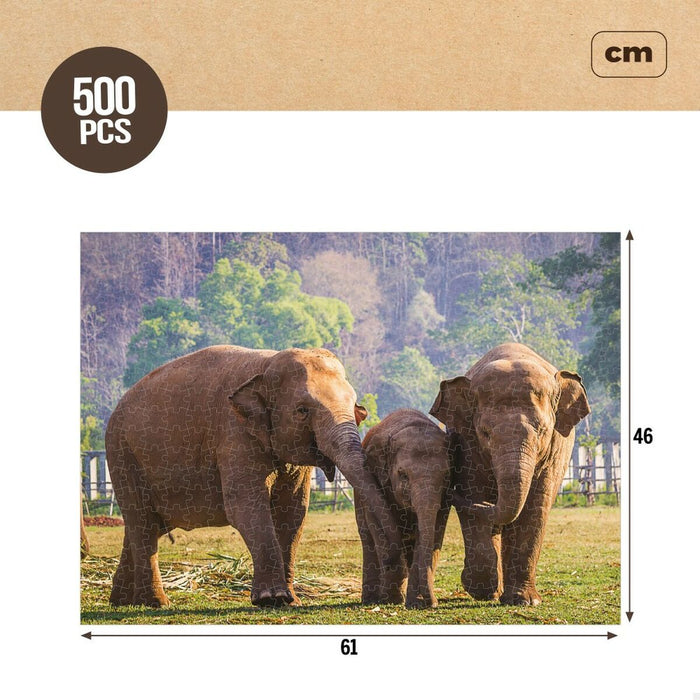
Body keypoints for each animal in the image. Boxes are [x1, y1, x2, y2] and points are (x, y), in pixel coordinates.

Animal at [105, 345, 400, 608]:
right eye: (302, 410)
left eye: (354, 407)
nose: (392, 559)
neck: (267, 366)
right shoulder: (234, 433)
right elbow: (245, 506)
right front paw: (272, 598)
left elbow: (293, 511)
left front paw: (291, 602)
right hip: (122, 454)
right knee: (142, 522)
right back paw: (156, 603)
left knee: (146, 525)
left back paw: (122, 601)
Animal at [355, 409, 459, 608]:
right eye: (403, 475)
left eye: (446, 476)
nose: (434, 603)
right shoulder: (375, 478)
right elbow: (379, 526)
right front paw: (391, 599)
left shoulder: (445, 497)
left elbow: (434, 531)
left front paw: (416, 603)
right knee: (368, 538)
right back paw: (372, 599)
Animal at [429, 343, 590, 606]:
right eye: (485, 432)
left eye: (542, 431)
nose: (450, 492)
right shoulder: (467, 443)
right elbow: (475, 495)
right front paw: (481, 589)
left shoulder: (556, 449)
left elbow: (535, 507)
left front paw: (524, 601)